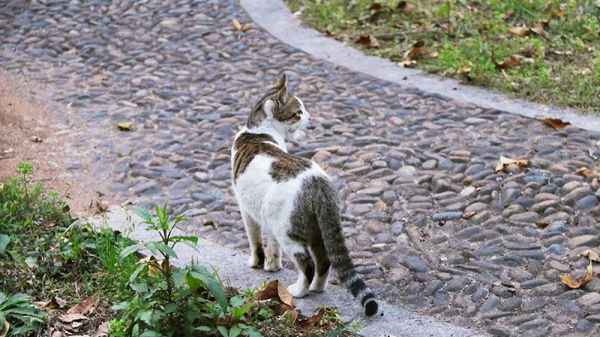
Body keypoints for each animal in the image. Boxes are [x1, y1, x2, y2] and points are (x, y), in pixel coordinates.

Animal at [231, 74, 378, 316]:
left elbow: (255, 242)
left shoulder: (247, 211)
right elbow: (272, 248)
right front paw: (272, 267)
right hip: (316, 228)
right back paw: (317, 288)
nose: (310, 117)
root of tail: (318, 182)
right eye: (299, 111)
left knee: (308, 264)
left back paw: (299, 291)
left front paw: (256, 263)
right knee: (325, 260)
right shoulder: (266, 217)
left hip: (289, 232)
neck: (258, 131)